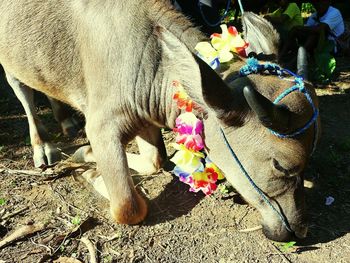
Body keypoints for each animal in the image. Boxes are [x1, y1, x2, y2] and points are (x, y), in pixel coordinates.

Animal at [0, 0, 320, 242]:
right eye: (281, 165)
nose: (299, 229)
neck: (149, 62)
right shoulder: (102, 127)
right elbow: (128, 206)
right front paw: (90, 173)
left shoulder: (143, 120)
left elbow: (155, 161)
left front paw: (85, 153)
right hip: (9, 65)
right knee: (24, 94)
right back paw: (42, 146)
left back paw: (66, 122)